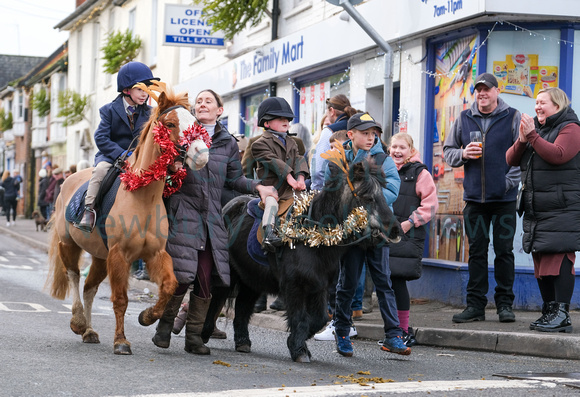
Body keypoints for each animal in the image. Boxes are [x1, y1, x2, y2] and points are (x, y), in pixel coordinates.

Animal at [46, 82, 208, 354]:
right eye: (171, 124)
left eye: (196, 122)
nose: (202, 153)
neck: (143, 196)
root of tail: (69, 179)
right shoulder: (119, 254)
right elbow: (120, 299)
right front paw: (121, 341)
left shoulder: (155, 254)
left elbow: (169, 286)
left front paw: (147, 316)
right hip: (68, 244)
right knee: (74, 276)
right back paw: (78, 322)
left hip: (100, 256)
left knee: (90, 288)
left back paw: (89, 331)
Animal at [203, 156, 398, 360]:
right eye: (368, 197)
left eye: (384, 195)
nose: (395, 230)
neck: (311, 236)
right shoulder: (294, 286)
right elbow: (300, 318)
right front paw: (298, 349)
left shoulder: (319, 286)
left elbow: (319, 319)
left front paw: (298, 342)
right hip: (228, 272)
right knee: (217, 299)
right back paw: (205, 333)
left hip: (252, 278)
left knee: (243, 306)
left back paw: (242, 341)